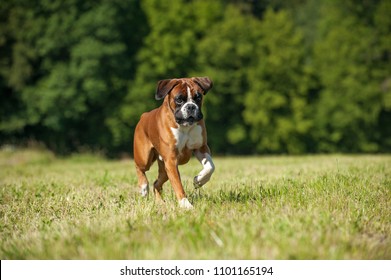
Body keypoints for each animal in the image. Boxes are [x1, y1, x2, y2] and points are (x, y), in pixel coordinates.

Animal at [134, 77, 214, 209]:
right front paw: (185, 205)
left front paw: (199, 180)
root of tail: (143, 116)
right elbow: (178, 185)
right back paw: (144, 188)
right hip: (145, 158)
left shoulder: (201, 148)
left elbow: (210, 166)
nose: (191, 107)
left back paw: (160, 203)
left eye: (198, 97)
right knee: (139, 168)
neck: (185, 127)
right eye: (179, 99)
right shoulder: (171, 161)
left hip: (164, 169)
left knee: (156, 183)